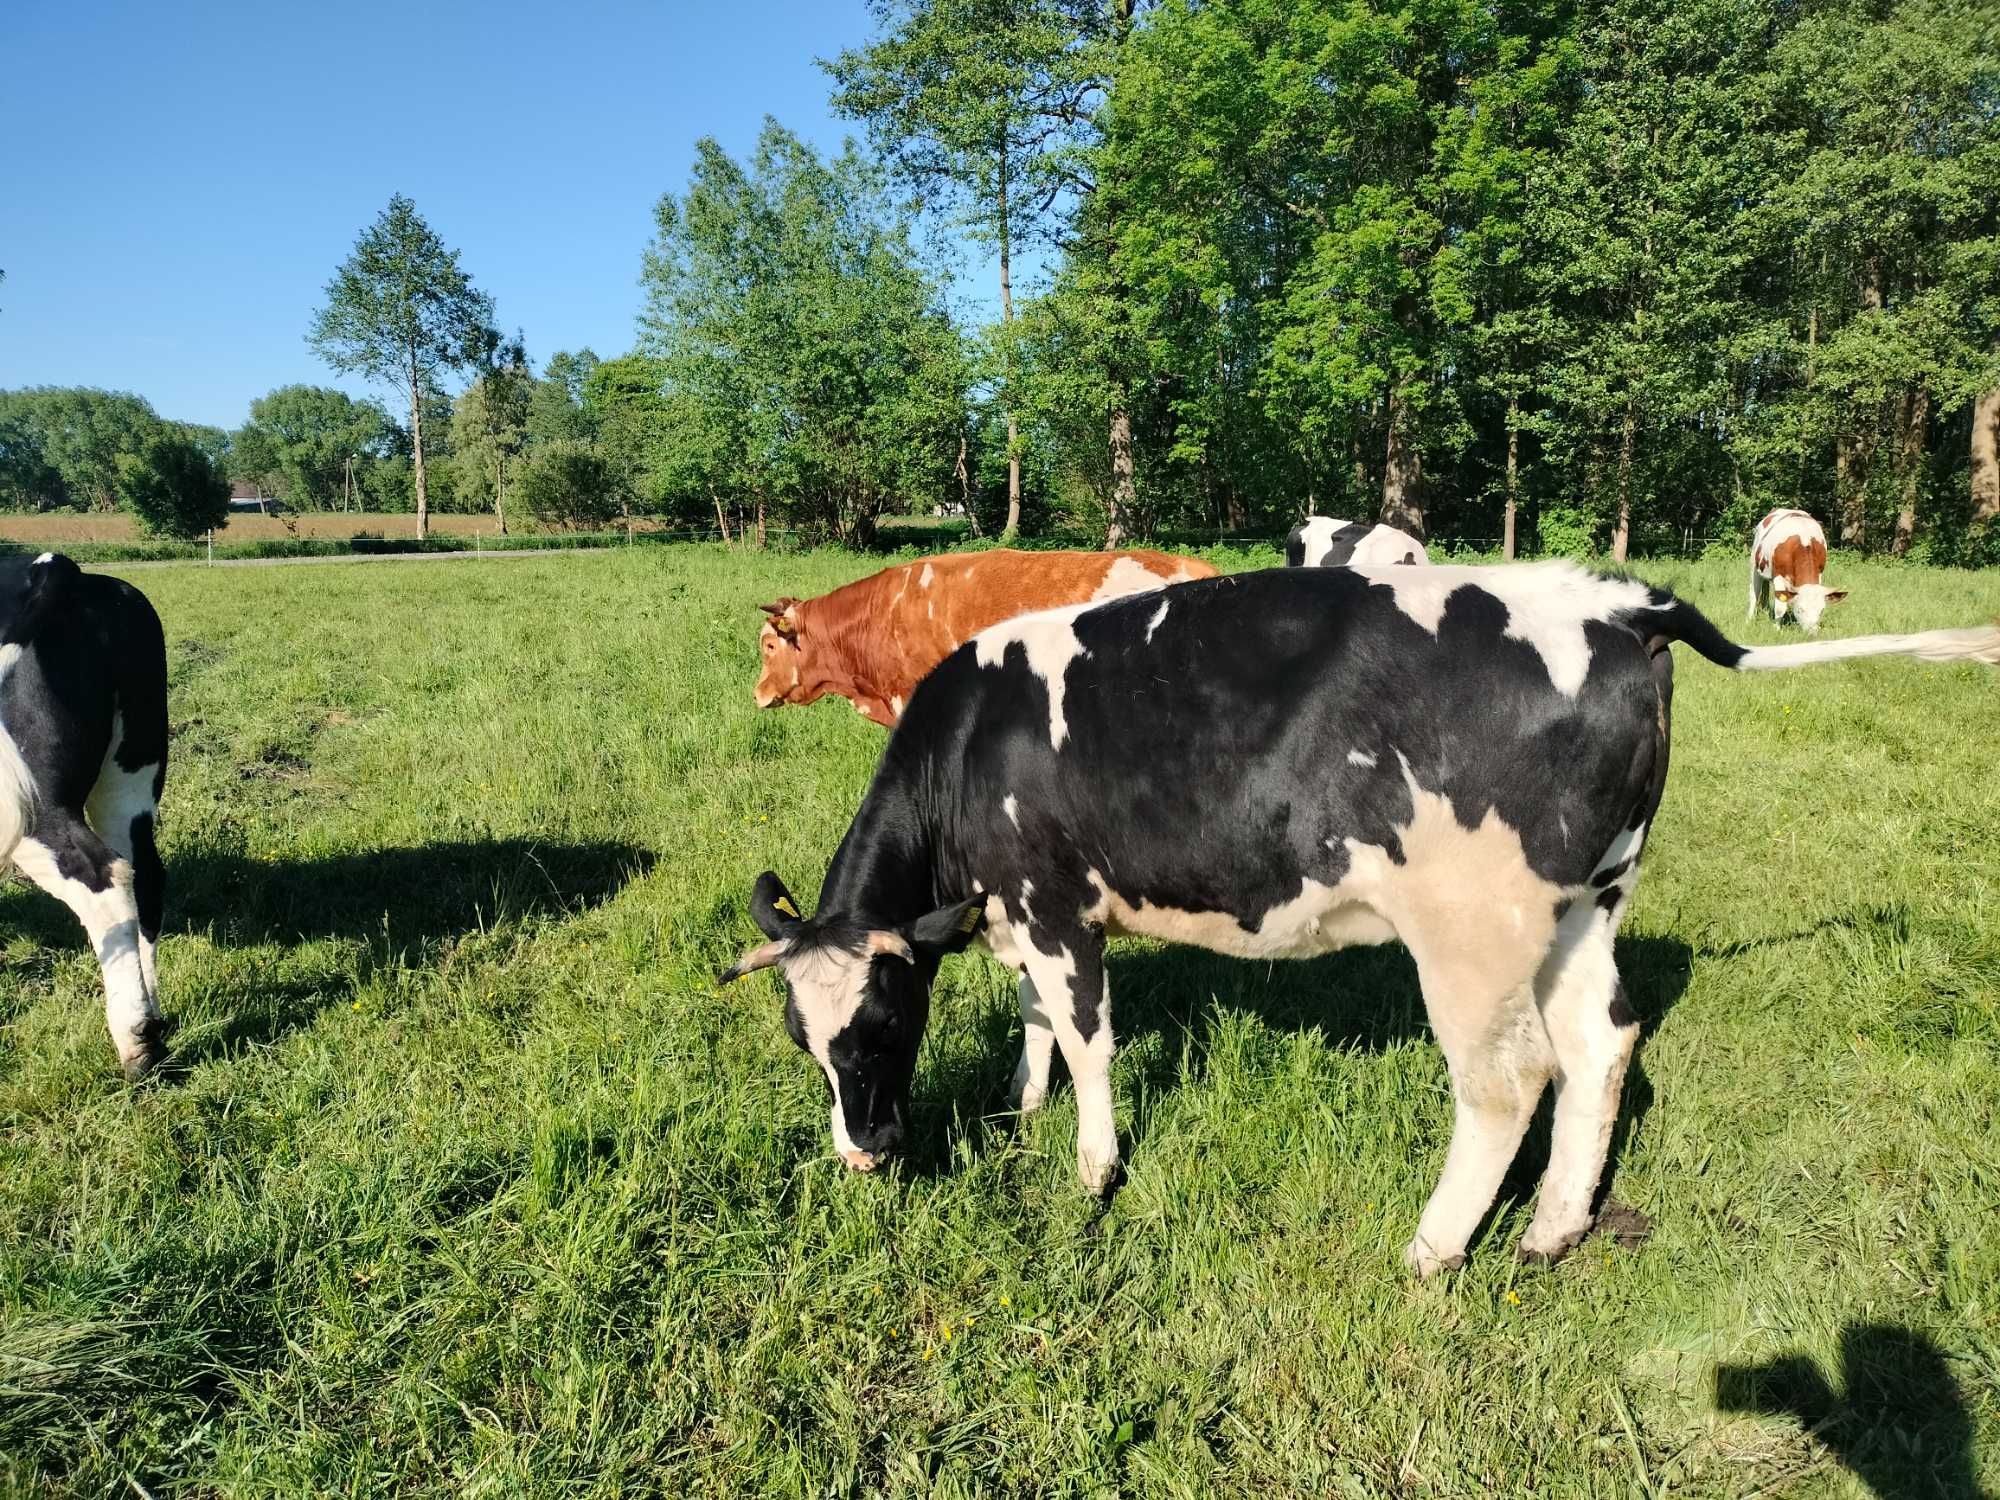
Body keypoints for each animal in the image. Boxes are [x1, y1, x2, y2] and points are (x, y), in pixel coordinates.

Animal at [1, 552, 170, 1080]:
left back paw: (135, 1044)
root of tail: (52, 567)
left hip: (33, 807)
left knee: (101, 877)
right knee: (145, 875)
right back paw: (152, 1018)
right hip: (131, 770)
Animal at [724, 568, 2000, 1280]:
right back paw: (1547, 1230)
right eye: (800, 1040)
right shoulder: (1022, 915)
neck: (969, 744)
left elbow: (1085, 1036)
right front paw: (1023, 1106)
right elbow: (1040, 1020)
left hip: (1471, 931)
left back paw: (1433, 1251)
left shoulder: (1051, 904)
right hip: (1585, 905)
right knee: (1600, 1048)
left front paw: (1090, 1169)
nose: (861, 1152)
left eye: (883, 1023)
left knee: (1507, 1081)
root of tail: (1610, 599)